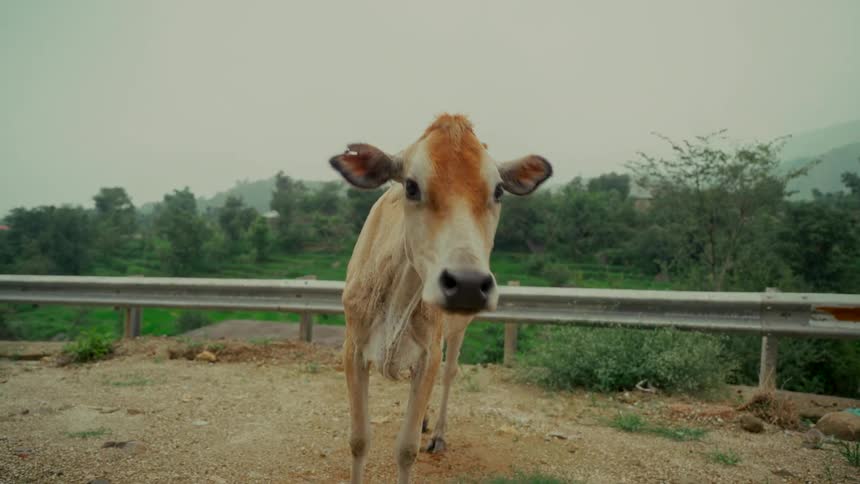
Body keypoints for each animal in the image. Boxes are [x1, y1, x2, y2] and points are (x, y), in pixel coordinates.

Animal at [329, 113, 552, 484]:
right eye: (410, 186)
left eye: (498, 190)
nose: (467, 284)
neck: (397, 295)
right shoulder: (353, 350)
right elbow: (359, 441)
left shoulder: (428, 353)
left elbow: (406, 449)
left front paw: (420, 435)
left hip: (458, 329)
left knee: (449, 373)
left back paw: (436, 433)